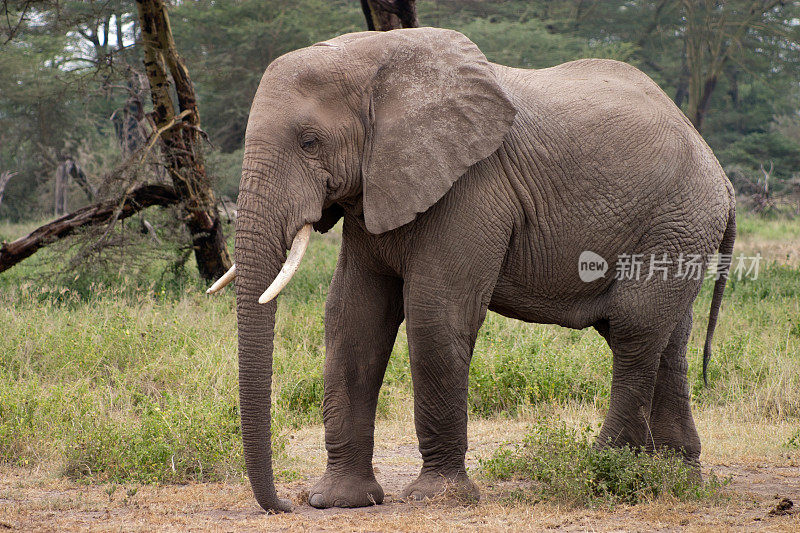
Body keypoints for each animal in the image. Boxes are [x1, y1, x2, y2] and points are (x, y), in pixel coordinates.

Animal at [206, 26, 736, 512]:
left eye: (309, 142)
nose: (283, 505)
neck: (378, 59)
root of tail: (720, 173)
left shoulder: (473, 186)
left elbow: (437, 316)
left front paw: (435, 499)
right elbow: (352, 317)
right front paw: (338, 501)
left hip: (678, 220)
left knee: (634, 332)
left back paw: (601, 470)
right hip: (681, 231)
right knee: (669, 342)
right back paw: (676, 477)